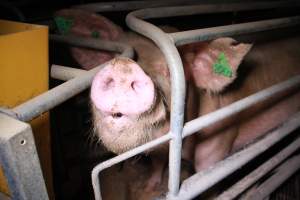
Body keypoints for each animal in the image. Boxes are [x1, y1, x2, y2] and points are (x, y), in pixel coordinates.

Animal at [54, 9, 300, 194]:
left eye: (169, 71)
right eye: (115, 59)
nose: (123, 67)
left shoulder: (218, 142)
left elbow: (205, 177)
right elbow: (157, 163)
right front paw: (149, 187)